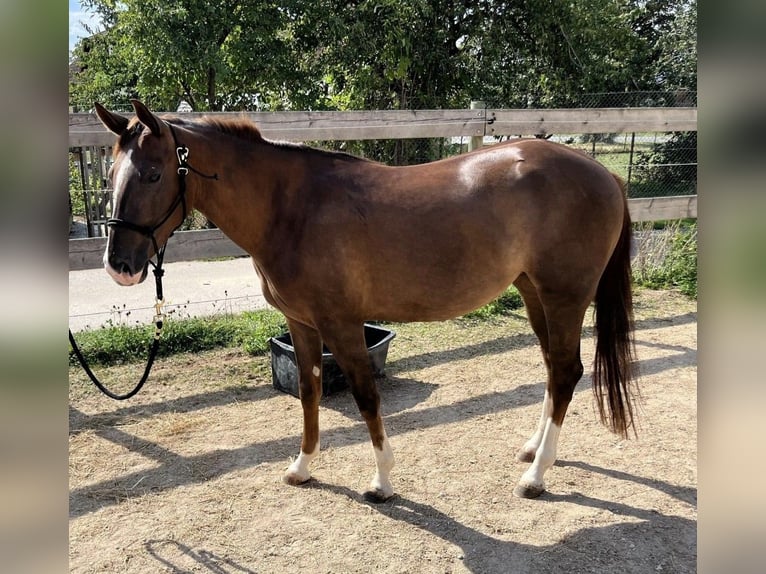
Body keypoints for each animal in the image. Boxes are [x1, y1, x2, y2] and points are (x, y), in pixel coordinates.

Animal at [94, 101, 636, 502]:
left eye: (152, 174)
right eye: (111, 173)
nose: (119, 265)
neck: (291, 208)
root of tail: (604, 175)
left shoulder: (342, 323)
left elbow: (366, 397)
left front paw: (382, 481)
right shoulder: (301, 324)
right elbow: (310, 392)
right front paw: (302, 467)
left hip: (565, 297)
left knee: (565, 372)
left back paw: (537, 476)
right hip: (533, 294)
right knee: (552, 368)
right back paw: (533, 451)